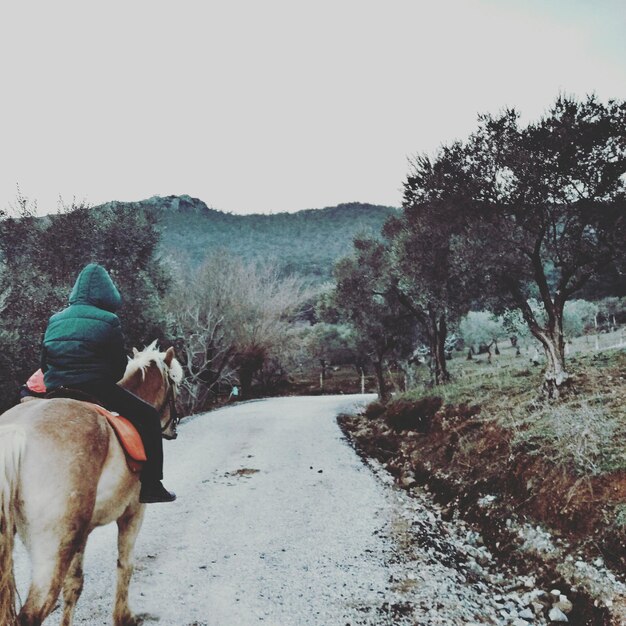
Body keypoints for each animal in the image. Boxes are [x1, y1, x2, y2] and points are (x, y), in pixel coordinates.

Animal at [0, 342, 183, 624]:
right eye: (175, 382)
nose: (174, 427)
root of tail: (16, 431)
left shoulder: (82, 533)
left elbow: (74, 586)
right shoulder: (133, 512)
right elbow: (125, 564)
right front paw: (124, 616)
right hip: (53, 548)